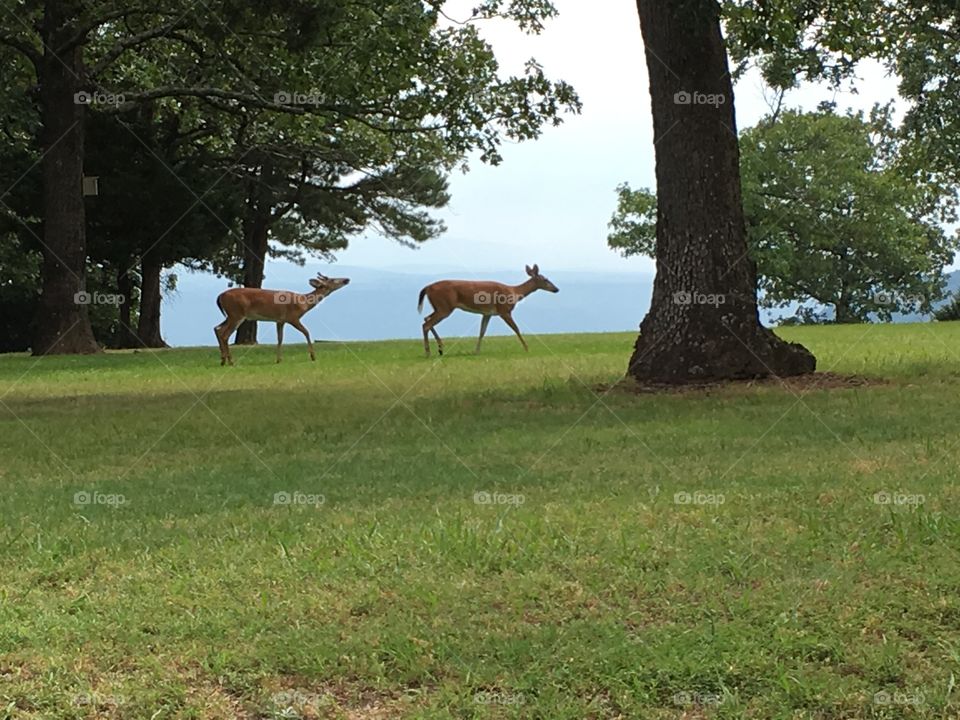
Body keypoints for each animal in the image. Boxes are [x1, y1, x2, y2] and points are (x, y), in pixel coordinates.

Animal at [214, 272, 350, 366]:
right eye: (333, 279)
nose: (347, 279)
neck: (304, 303)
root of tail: (219, 296)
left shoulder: (280, 320)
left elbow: (280, 338)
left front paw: (278, 359)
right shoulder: (293, 317)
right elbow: (306, 332)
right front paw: (313, 356)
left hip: (231, 315)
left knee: (217, 328)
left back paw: (223, 360)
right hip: (236, 313)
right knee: (225, 334)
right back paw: (231, 361)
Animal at [417, 264, 559, 357]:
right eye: (545, 279)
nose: (556, 289)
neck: (514, 292)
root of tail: (427, 287)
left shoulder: (487, 313)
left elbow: (482, 331)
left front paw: (476, 351)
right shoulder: (504, 310)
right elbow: (516, 328)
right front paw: (527, 348)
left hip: (439, 307)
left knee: (425, 318)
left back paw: (440, 348)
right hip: (444, 307)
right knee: (426, 324)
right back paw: (428, 352)